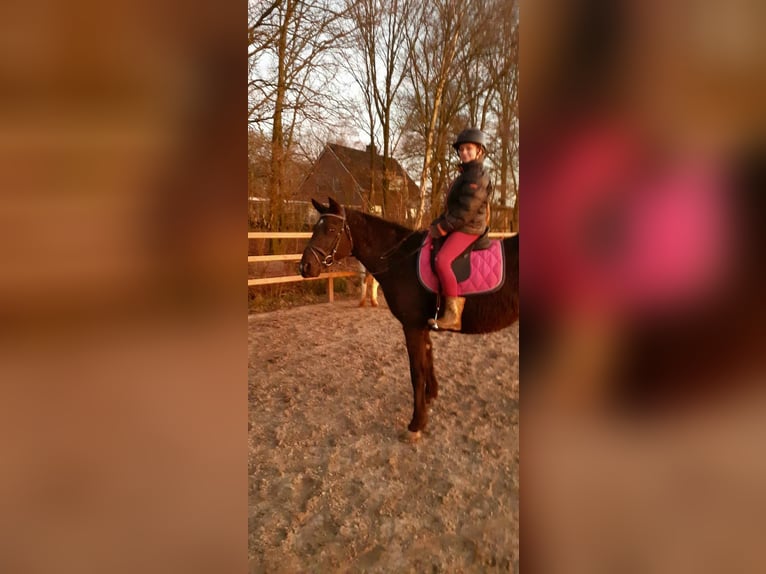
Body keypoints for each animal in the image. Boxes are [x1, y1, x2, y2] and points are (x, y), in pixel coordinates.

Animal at [299, 197, 519, 438]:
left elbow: (416, 372)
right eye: (314, 228)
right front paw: (431, 396)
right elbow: (428, 358)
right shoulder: (422, 326)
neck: (402, 260)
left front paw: (417, 423)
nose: (305, 266)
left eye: (330, 229)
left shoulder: (412, 326)